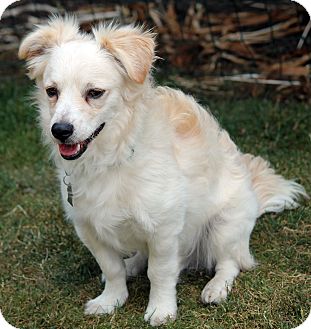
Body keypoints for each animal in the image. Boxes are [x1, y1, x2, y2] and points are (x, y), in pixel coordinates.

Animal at [18, 17, 308, 326]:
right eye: (52, 91)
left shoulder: (164, 230)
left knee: (230, 263)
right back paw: (132, 263)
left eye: (94, 93)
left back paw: (216, 288)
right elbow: (111, 268)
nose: (59, 130)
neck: (110, 160)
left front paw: (161, 309)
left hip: (224, 228)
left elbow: (160, 272)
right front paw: (111, 300)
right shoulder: (89, 227)